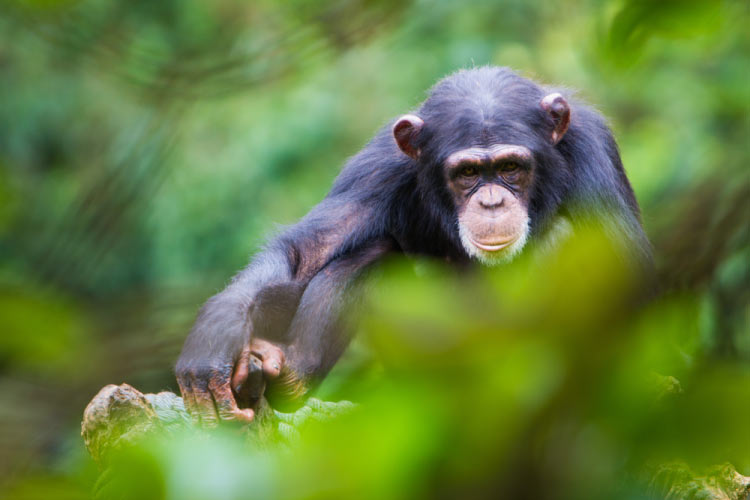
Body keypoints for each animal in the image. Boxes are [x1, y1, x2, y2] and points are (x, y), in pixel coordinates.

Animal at [175, 67, 652, 426]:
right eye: (467, 173)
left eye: (511, 168)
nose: (492, 201)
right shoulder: (380, 165)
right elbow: (309, 249)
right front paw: (217, 330)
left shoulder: (592, 151)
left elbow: (624, 274)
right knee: (375, 257)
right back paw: (285, 370)